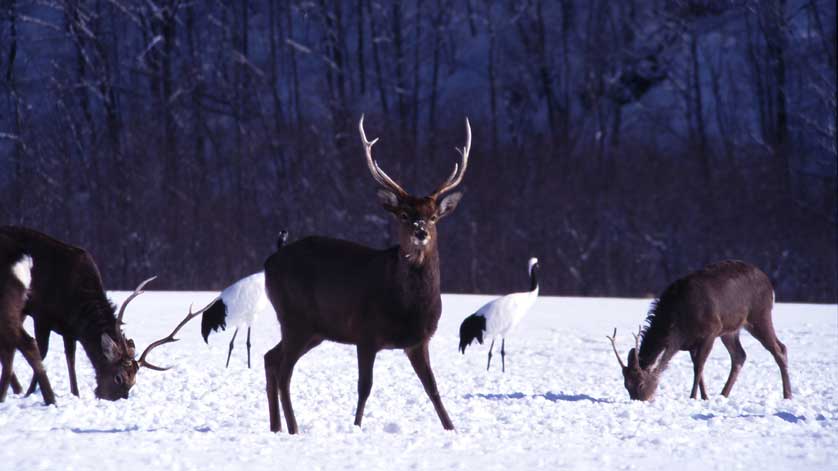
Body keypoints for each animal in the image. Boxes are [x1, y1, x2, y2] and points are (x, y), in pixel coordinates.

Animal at [0, 227, 192, 400]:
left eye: (134, 382)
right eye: (118, 377)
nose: (114, 398)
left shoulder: (69, 329)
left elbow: (70, 358)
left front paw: (75, 393)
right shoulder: (42, 316)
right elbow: (43, 351)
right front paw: (30, 392)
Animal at [262, 116, 472, 434]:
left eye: (434, 216)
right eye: (403, 215)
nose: (421, 232)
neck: (408, 307)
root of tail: (269, 261)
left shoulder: (418, 341)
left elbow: (433, 388)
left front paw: (452, 429)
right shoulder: (365, 332)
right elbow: (365, 387)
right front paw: (357, 427)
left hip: (315, 330)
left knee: (270, 358)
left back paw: (275, 427)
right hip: (294, 318)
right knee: (284, 369)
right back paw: (293, 428)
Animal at [612, 262, 796, 402]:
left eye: (641, 383)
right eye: (626, 385)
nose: (641, 400)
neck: (678, 330)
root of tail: (770, 284)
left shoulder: (711, 331)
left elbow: (699, 366)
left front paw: (693, 397)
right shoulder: (691, 343)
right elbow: (698, 368)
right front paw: (705, 396)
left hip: (759, 315)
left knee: (780, 348)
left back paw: (788, 395)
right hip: (730, 330)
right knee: (740, 355)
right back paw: (723, 394)